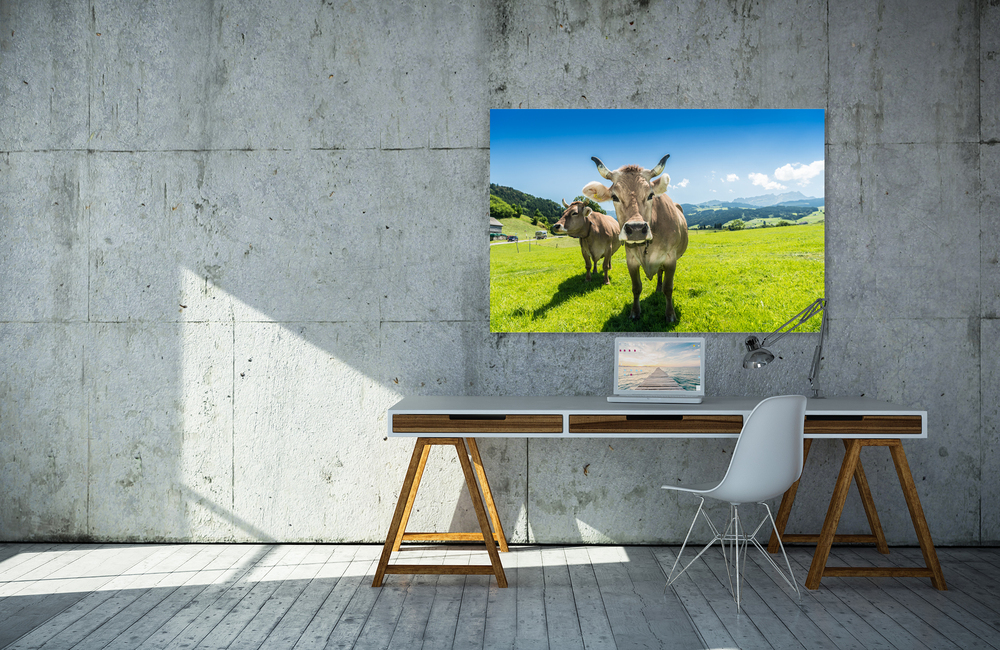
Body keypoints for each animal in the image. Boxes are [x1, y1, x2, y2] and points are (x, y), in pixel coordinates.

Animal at [582, 155, 688, 322]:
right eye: (614, 197)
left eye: (651, 195)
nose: (637, 229)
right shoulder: (630, 259)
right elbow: (636, 287)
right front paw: (635, 312)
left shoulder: (671, 259)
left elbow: (668, 288)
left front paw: (670, 314)